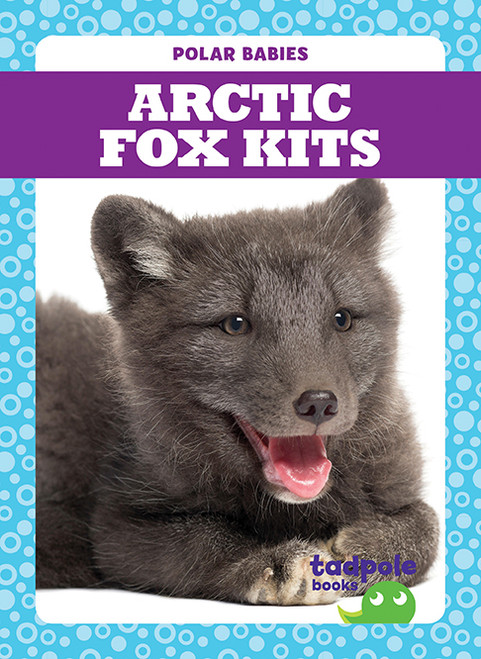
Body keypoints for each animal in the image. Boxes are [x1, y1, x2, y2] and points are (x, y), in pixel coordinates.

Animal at [36, 179, 438, 605]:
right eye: (235, 324)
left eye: (342, 318)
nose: (319, 403)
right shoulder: (115, 525)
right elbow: (199, 537)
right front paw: (273, 562)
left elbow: (429, 522)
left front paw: (366, 551)